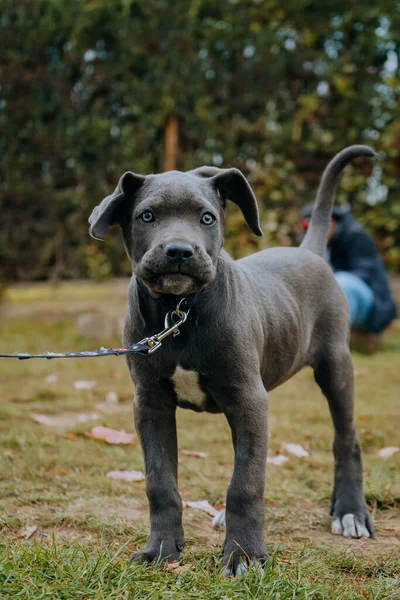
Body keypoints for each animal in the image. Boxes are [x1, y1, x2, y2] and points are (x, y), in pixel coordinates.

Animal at [88, 146, 376, 576]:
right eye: (147, 216)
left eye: (207, 218)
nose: (179, 251)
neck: (180, 310)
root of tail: (307, 252)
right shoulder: (151, 404)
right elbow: (160, 482)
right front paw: (161, 550)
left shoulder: (248, 398)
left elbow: (246, 482)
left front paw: (245, 554)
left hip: (336, 365)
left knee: (346, 439)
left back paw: (350, 512)